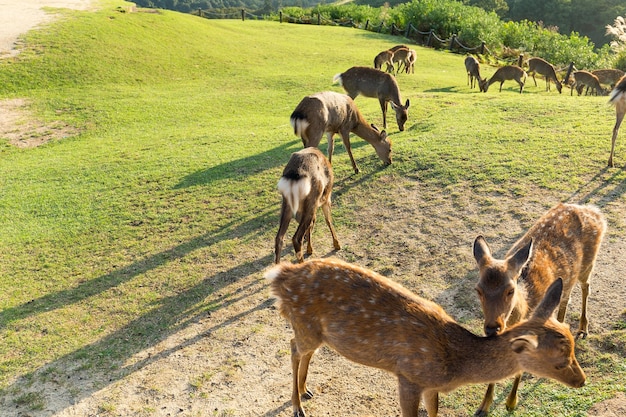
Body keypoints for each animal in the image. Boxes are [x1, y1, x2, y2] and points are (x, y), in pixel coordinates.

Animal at [266, 258, 584, 414]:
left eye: (573, 349)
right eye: (558, 361)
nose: (581, 381)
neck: (453, 365)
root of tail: (280, 276)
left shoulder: (431, 386)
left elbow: (434, 412)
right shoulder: (408, 377)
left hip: (316, 331)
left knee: (305, 350)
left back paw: (306, 390)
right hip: (304, 325)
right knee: (293, 347)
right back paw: (296, 407)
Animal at [470, 201, 604, 412]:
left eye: (510, 290)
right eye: (478, 290)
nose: (492, 328)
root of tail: (592, 210)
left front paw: (511, 402)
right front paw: (483, 406)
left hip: (588, 263)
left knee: (586, 287)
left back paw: (583, 329)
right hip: (568, 278)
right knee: (565, 298)